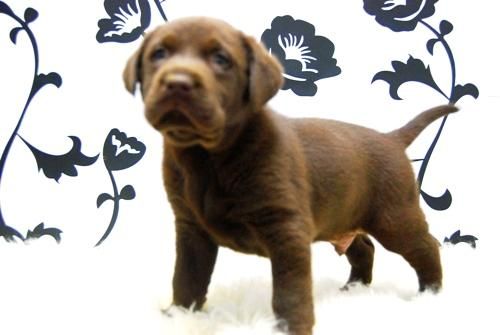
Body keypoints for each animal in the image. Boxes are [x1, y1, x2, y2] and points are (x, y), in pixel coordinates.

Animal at [124, 17, 458, 335]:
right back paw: (354, 288)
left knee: (426, 246)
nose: (177, 83)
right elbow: (186, 277)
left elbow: (290, 292)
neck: (207, 156)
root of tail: (392, 138)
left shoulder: (286, 229)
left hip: (394, 217)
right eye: (159, 54)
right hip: (344, 217)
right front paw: (179, 315)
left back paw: (431, 293)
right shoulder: (191, 228)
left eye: (221, 59)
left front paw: (292, 327)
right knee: (364, 248)